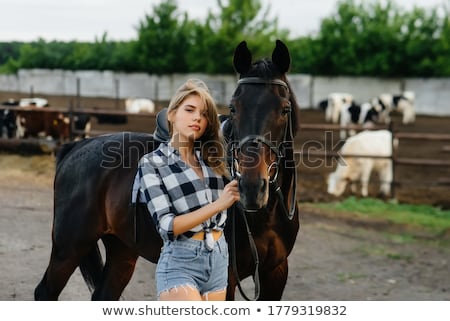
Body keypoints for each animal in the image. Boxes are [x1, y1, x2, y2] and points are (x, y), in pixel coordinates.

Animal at [34, 40, 298, 300]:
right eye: (233, 108)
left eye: (285, 109)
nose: (251, 188)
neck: (265, 216)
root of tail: (76, 147)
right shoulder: (228, 278)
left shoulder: (276, 272)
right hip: (69, 247)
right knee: (45, 291)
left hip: (122, 250)